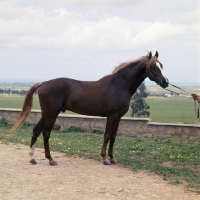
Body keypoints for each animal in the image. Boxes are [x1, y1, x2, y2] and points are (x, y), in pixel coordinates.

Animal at [10, 51, 169, 166]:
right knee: (46, 133)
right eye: (153, 66)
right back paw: (51, 159)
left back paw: (32, 159)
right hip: (52, 115)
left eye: (162, 65)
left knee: (36, 131)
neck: (118, 85)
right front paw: (105, 159)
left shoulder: (118, 117)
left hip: (46, 114)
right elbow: (107, 135)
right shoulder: (112, 116)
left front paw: (112, 158)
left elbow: (113, 136)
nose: (165, 82)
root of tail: (43, 83)